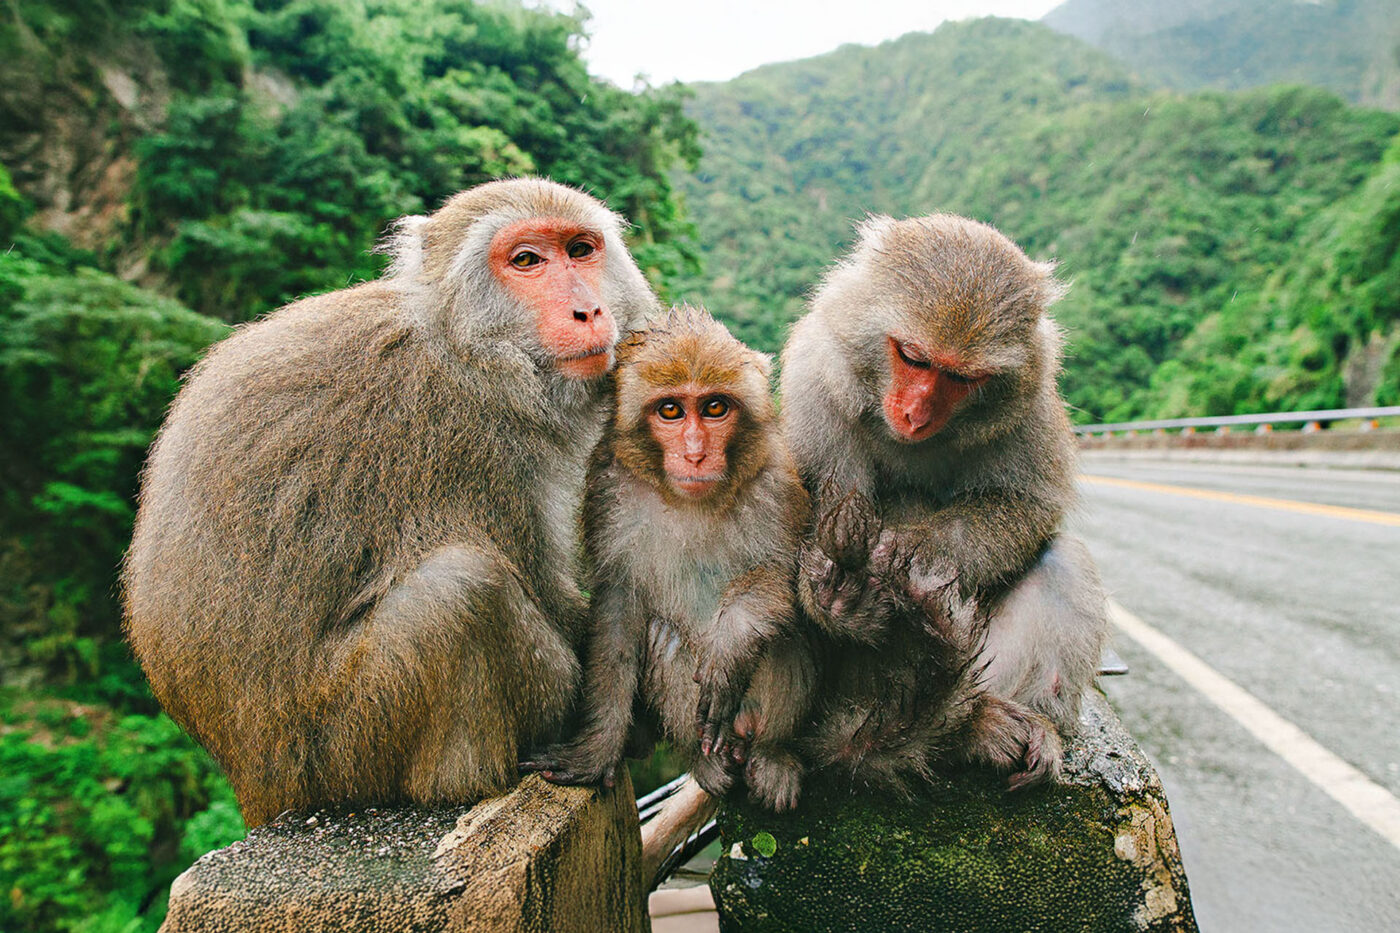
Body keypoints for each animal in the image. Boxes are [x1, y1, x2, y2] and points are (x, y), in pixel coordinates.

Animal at [122, 178, 661, 826]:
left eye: (581, 250)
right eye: (527, 260)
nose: (588, 310)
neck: (462, 345)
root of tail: (257, 787)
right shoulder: (474, 444)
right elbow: (541, 591)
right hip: (346, 746)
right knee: (461, 590)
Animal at [520, 307, 816, 878]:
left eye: (716, 407)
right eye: (671, 411)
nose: (696, 454)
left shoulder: (778, 481)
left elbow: (787, 578)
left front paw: (730, 646)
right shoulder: (610, 494)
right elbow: (618, 611)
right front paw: (597, 750)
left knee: (784, 636)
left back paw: (771, 754)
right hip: (708, 728)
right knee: (663, 638)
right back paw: (708, 764)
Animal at [780, 212, 1110, 792]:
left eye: (960, 377)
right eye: (913, 358)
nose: (915, 415)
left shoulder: (1029, 407)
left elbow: (1025, 507)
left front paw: (916, 549)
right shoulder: (814, 379)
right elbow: (819, 506)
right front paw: (836, 596)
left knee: (1063, 559)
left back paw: (1003, 723)